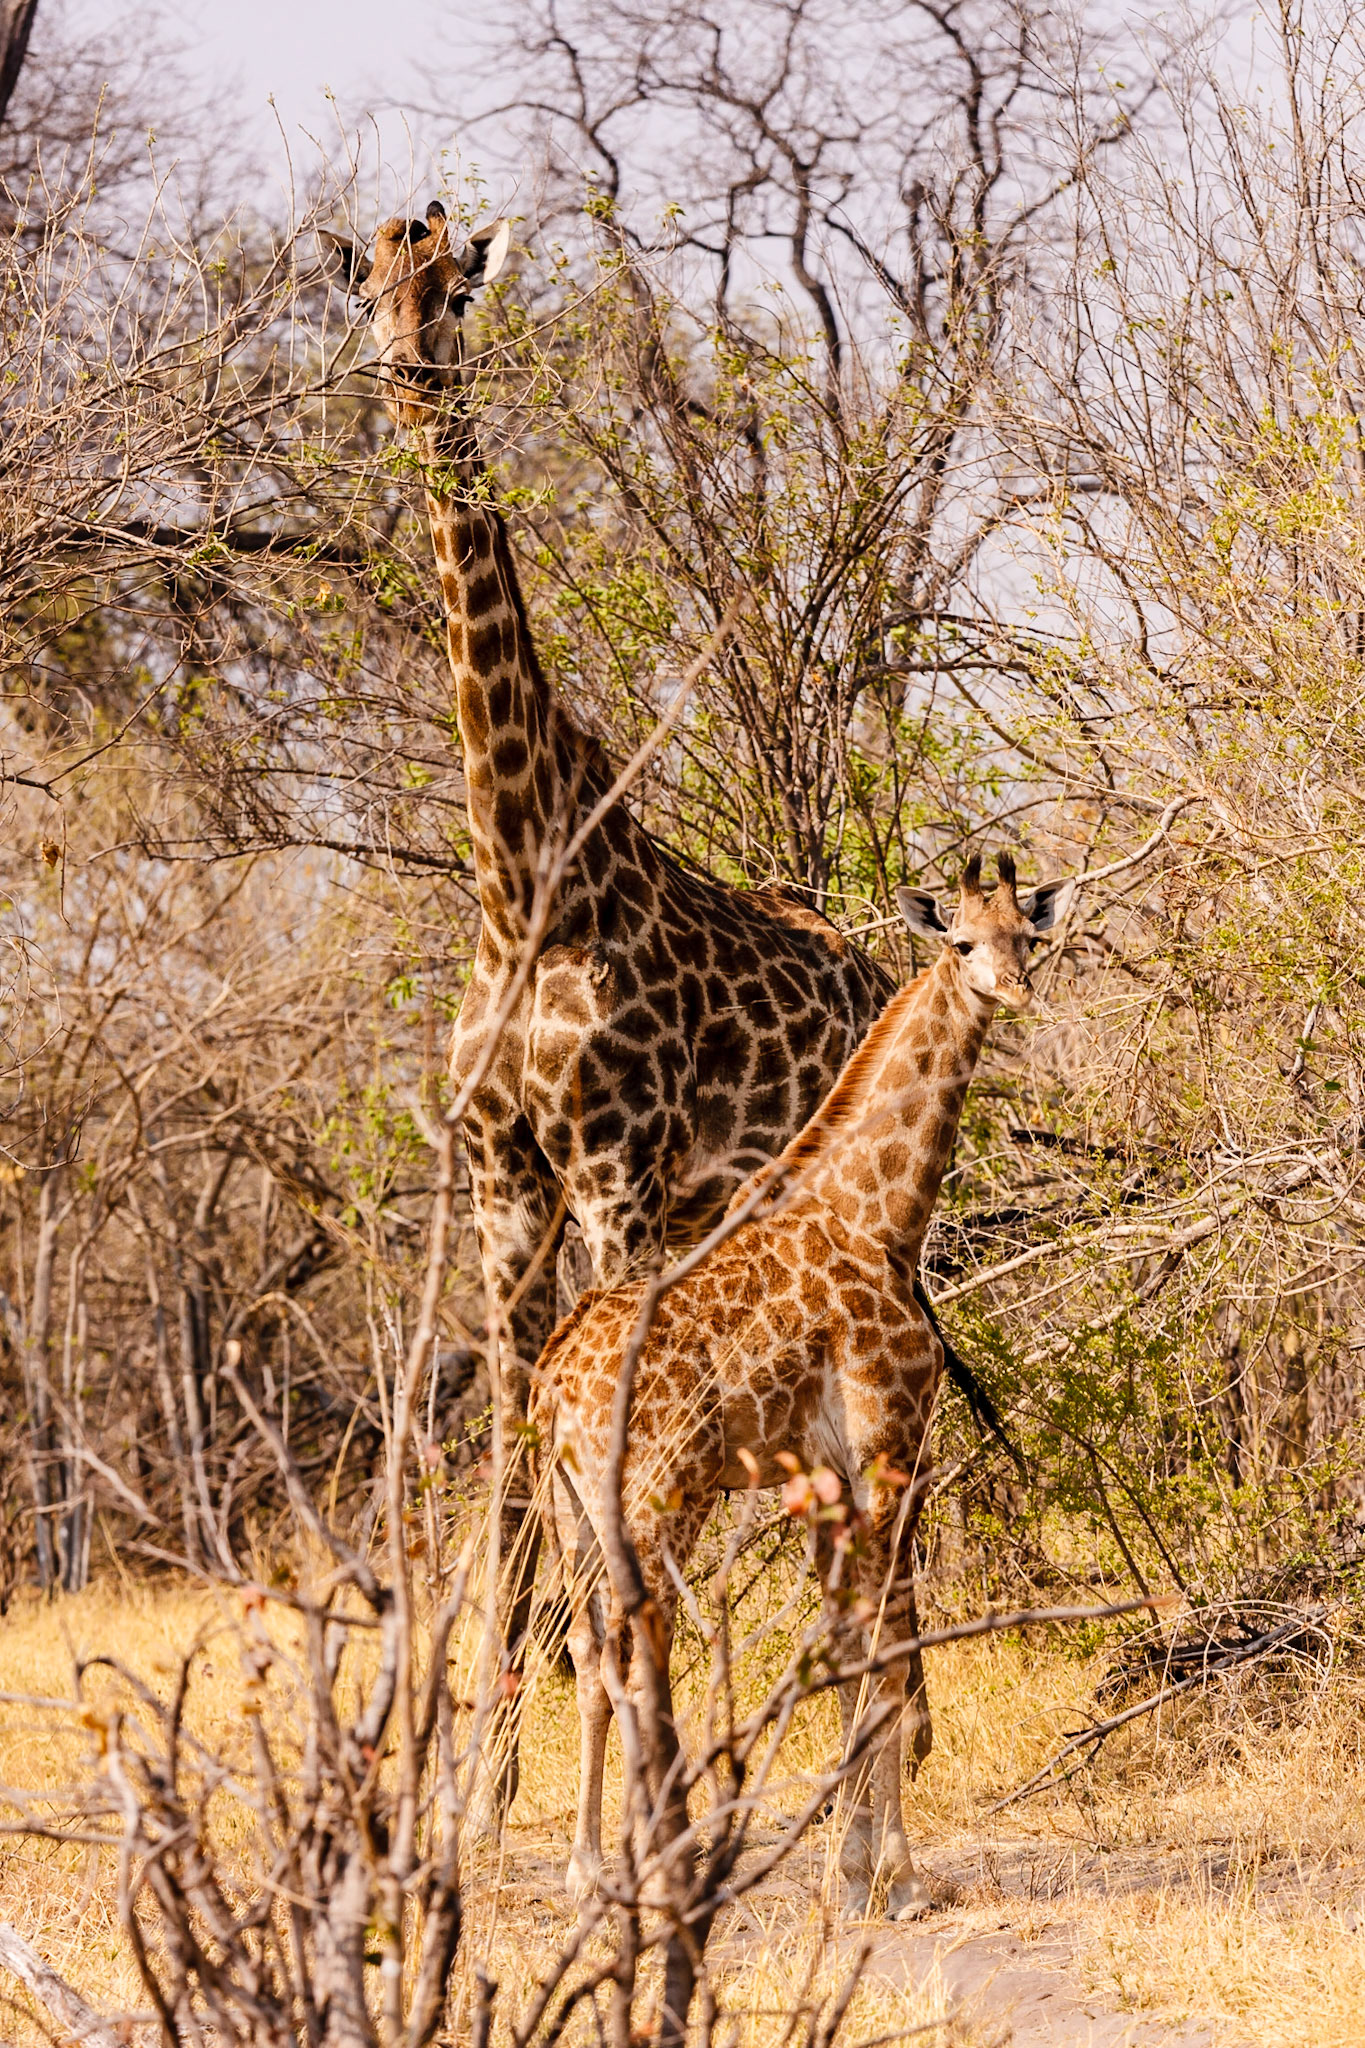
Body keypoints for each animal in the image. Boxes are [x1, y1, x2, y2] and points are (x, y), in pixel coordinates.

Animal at [322, 201, 896, 1798]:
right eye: (371, 291)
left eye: (457, 291)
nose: (410, 372)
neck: (518, 879)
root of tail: (882, 969)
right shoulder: (507, 1187)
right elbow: (514, 1452)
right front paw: (480, 1764)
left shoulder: (610, 1175)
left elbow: (595, 1428)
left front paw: (601, 1725)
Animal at [532, 853, 1073, 1917]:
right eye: (960, 941)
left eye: (1026, 936)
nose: (1016, 990)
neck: (881, 1210)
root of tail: (552, 1385)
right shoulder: (889, 1441)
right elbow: (886, 1657)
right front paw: (891, 1878)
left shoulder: (826, 1476)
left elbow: (854, 1653)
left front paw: (856, 1865)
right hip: (656, 1494)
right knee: (637, 1647)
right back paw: (657, 1857)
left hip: (572, 1507)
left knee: (589, 1652)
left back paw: (590, 1869)